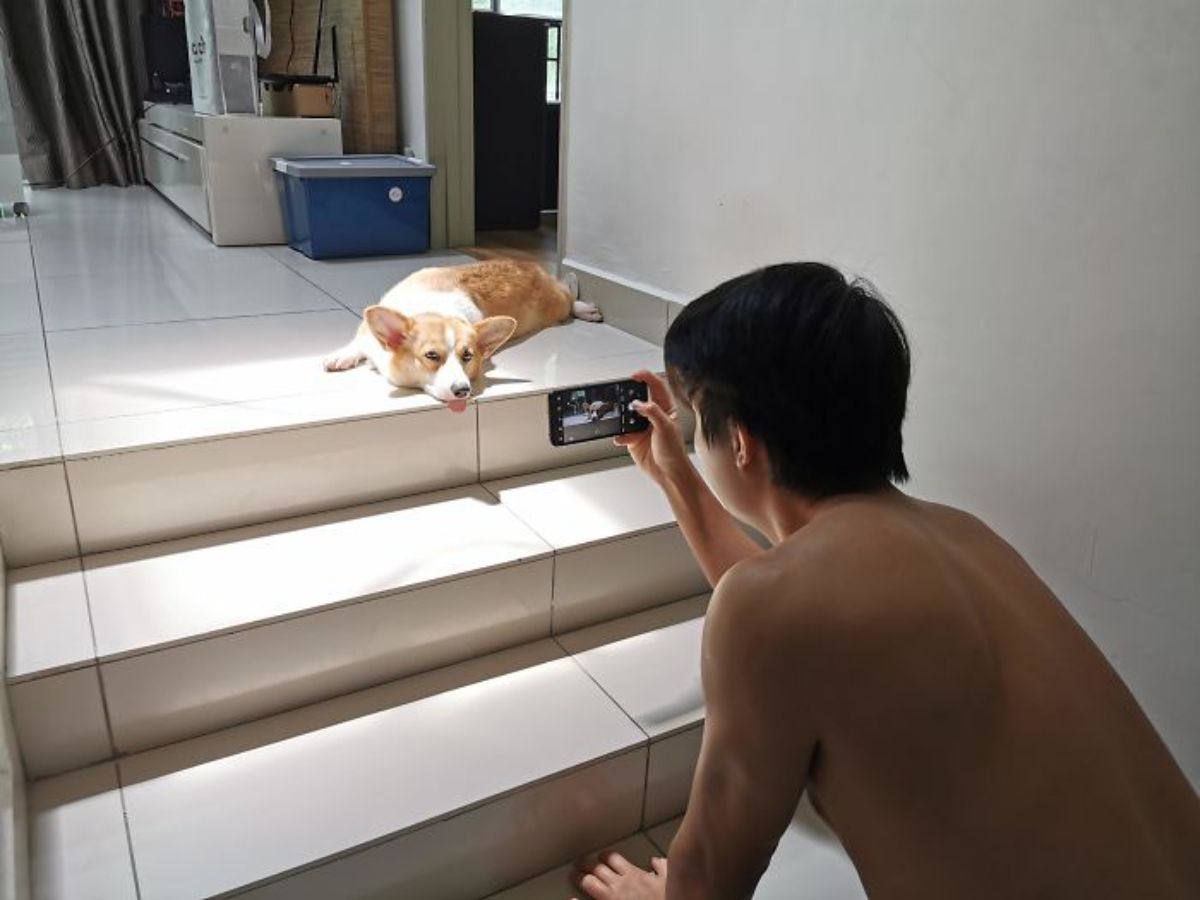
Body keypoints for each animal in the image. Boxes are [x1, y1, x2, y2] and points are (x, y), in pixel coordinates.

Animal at [321, 256, 600, 412]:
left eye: (468, 356)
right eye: (431, 356)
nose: (463, 391)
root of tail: (535, 267)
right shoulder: (366, 336)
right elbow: (356, 343)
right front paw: (340, 356)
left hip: (556, 306)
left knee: (569, 296)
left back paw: (586, 307)